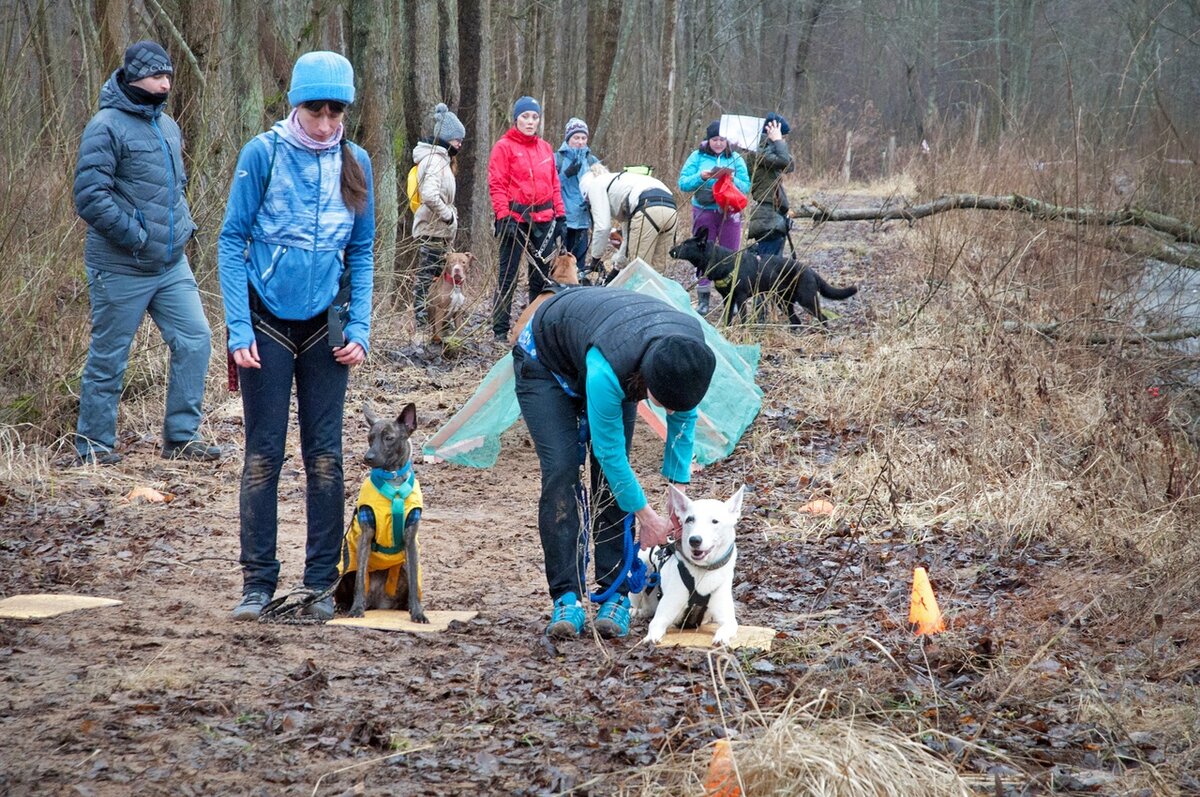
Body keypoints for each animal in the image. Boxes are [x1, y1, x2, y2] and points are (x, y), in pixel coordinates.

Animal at [633, 484, 744, 648]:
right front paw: (651, 638)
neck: (702, 570)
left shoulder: (728, 620)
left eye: (715, 521)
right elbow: (655, 625)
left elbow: (727, 626)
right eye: (690, 520)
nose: (694, 540)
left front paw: (721, 638)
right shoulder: (663, 615)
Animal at [672, 229, 859, 328]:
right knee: (796, 321)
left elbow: (743, 318)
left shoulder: (740, 298)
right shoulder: (728, 298)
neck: (722, 261)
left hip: (807, 300)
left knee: (823, 318)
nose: (670, 250)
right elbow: (728, 318)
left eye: (685, 245)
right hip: (783, 301)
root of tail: (811, 271)